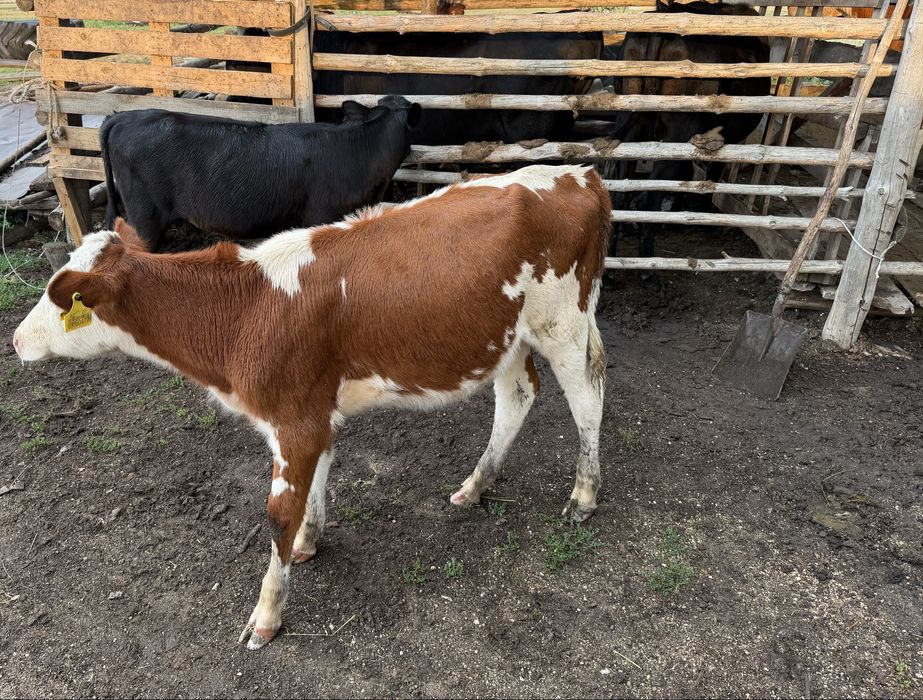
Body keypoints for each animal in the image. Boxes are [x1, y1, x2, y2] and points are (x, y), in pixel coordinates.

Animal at [14, 164, 611, 650]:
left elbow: (279, 515)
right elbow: (317, 481)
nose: (16, 340)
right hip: (503, 335)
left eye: (59, 298)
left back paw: (584, 495)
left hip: (562, 321)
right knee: (517, 395)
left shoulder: (294, 420)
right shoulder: (312, 412)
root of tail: (579, 173)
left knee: (587, 396)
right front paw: (309, 540)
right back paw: (476, 484)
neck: (246, 308)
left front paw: (266, 615)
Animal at [604, 0, 770, 262]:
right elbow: (712, 175)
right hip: (677, 132)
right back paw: (648, 263)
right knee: (650, 197)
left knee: (621, 191)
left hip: (630, 124)